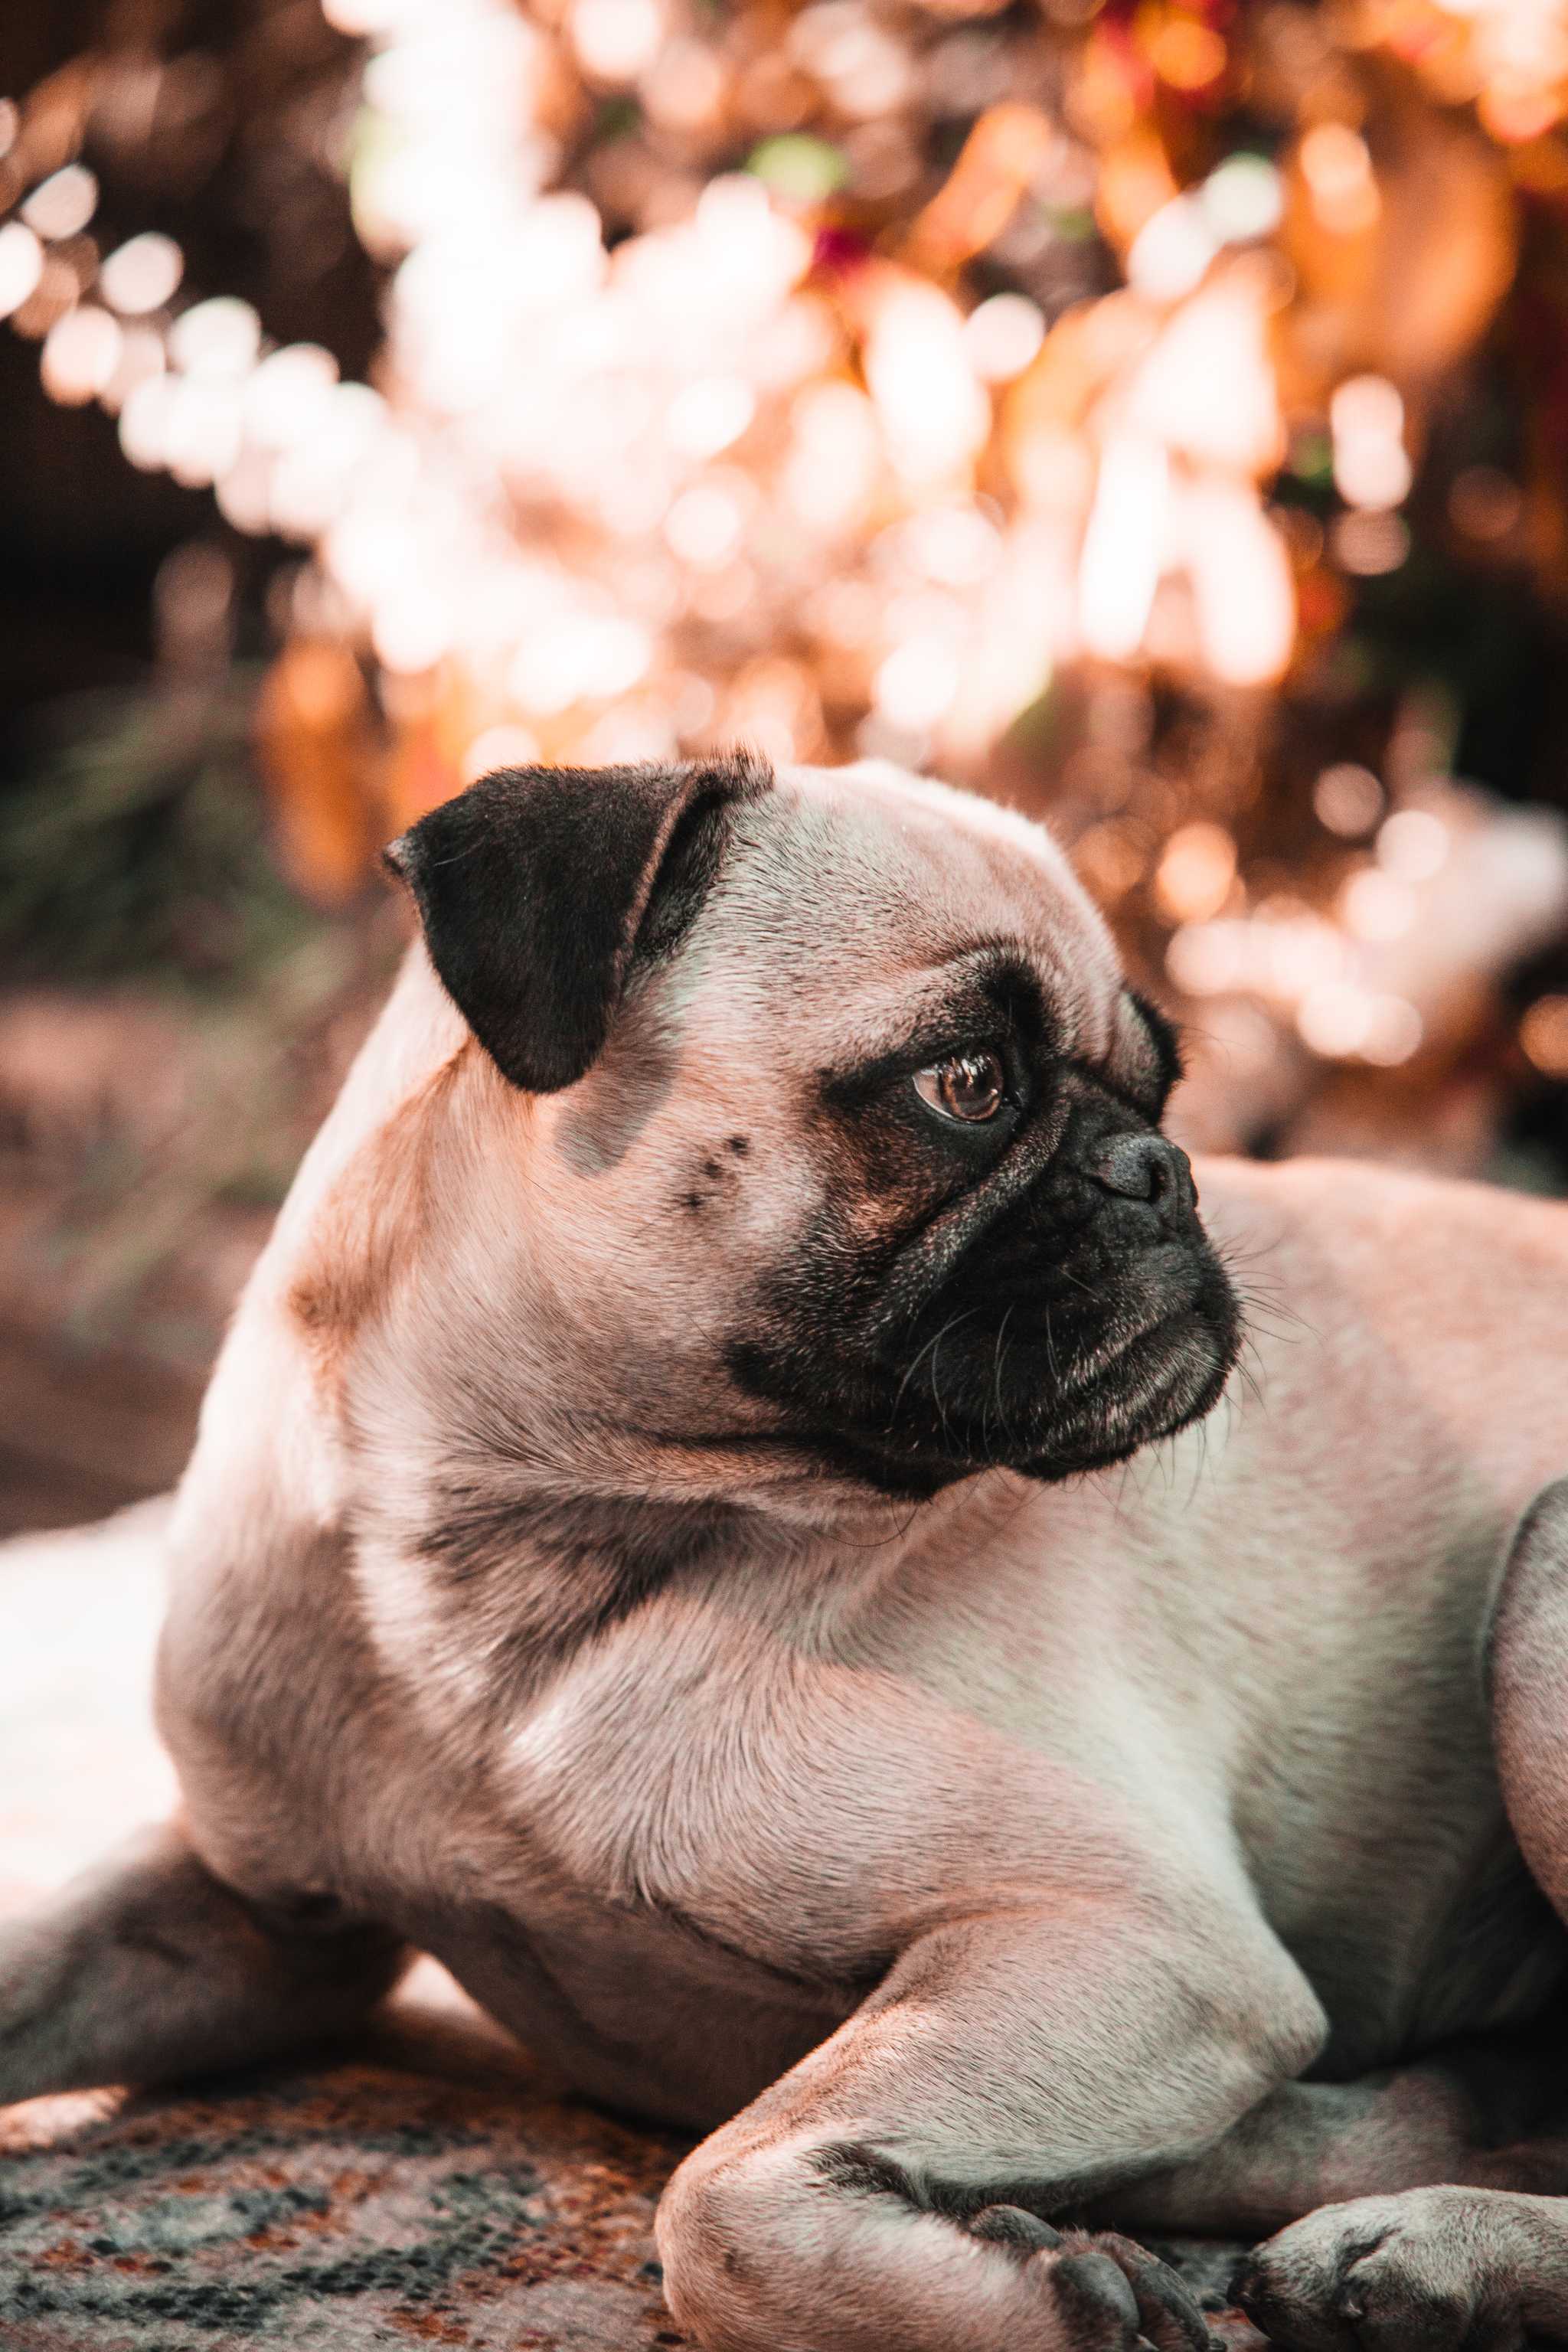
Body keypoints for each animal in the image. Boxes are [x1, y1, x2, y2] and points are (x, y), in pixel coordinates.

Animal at [3, 757, 1568, 2352]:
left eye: (1159, 1091)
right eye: (966, 1083)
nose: (1162, 1167)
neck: (483, 1567)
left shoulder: (1133, 1938)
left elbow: (714, 2202)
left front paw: (1045, 2300)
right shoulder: (245, 1916)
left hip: (1537, 1577)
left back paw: (1411, 2248)